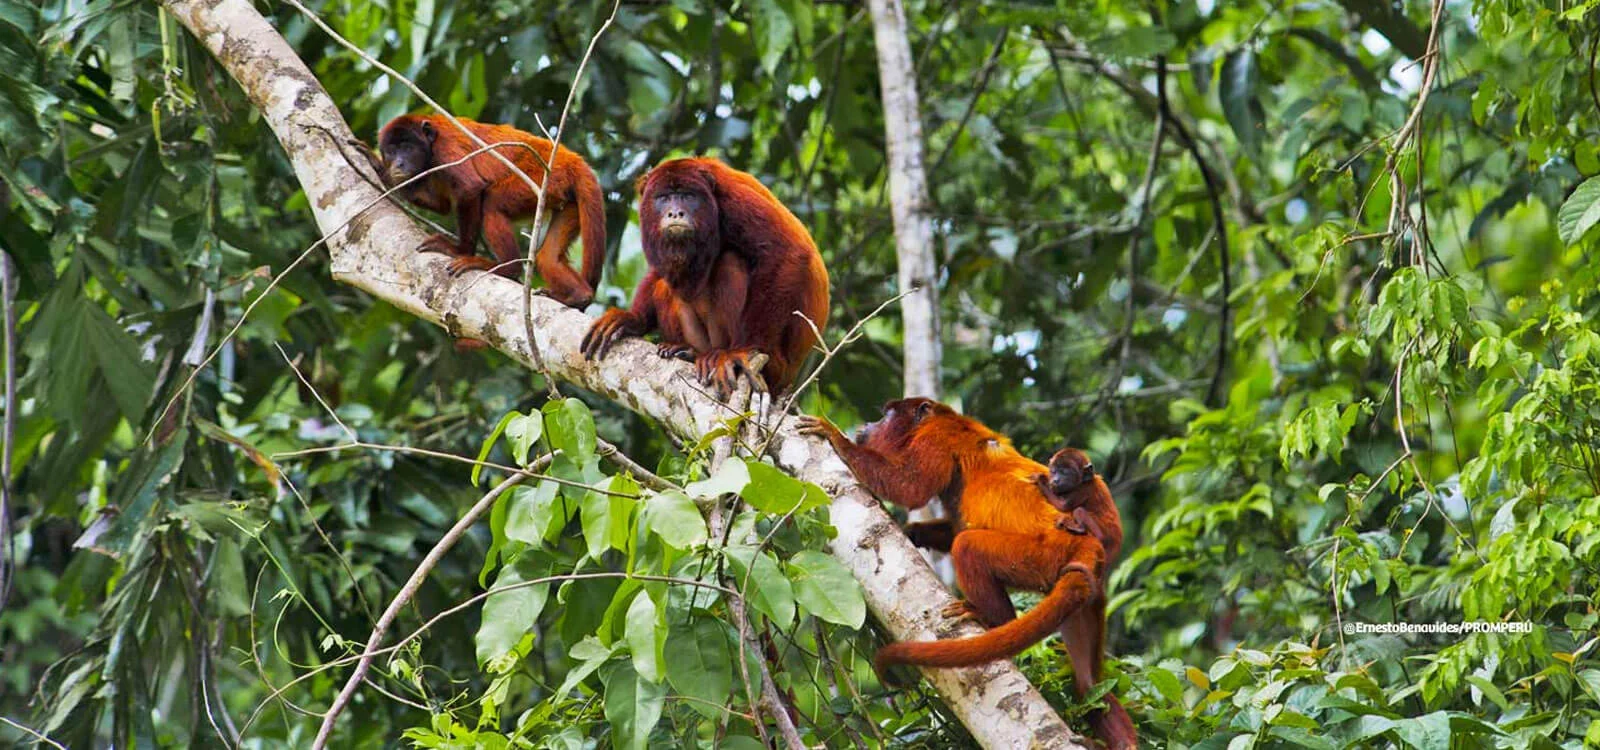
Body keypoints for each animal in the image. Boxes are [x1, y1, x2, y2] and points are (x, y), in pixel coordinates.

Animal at [374, 114, 604, 307]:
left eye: (407, 147)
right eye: (391, 151)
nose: (398, 163)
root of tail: (571, 158)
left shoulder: (445, 147)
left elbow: (470, 188)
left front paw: (459, 250)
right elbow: (442, 205)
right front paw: (380, 168)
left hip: (544, 177)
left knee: (492, 203)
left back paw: (507, 269)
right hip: (565, 198)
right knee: (548, 257)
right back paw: (579, 296)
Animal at [579, 157, 832, 398]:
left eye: (687, 196)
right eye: (664, 198)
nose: (675, 213)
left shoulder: (732, 200)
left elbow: (788, 252)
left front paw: (743, 350)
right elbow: (659, 273)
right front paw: (632, 319)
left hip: (776, 365)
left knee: (729, 263)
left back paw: (721, 354)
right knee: (665, 285)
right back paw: (687, 350)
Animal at [796, 399, 1139, 748]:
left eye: (887, 414)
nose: (868, 424)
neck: (939, 417)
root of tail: (1086, 544)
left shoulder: (935, 438)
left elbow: (910, 488)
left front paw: (835, 436)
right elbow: (951, 523)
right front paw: (912, 532)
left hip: (1041, 556)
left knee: (967, 546)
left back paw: (991, 617)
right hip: (1088, 596)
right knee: (1088, 683)